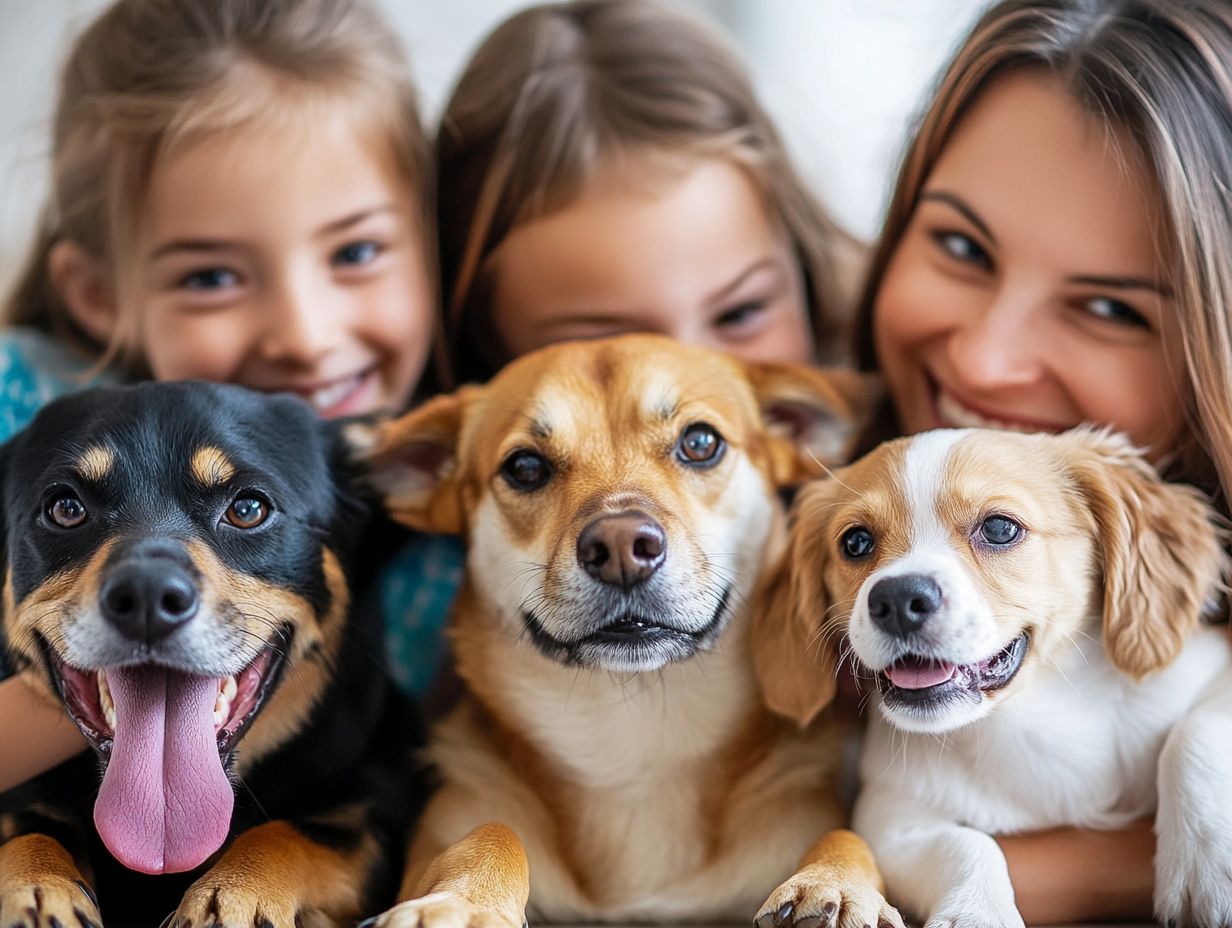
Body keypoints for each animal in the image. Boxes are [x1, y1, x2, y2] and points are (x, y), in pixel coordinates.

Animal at [0, 379, 423, 926]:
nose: (148, 598)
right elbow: (27, 825)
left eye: (248, 509)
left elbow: (287, 833)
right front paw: (37, 887)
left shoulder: (371, 819)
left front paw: (235, 894)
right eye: (65, 509)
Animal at [359, 335, 901, 926]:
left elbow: (847, 835)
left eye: (700, 442)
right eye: (524, 467)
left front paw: (835, 883)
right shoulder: (453, 822)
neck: (636, 736)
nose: (621, 546)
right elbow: (492, 831)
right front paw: (461, 901)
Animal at [758, 426, 1232, 926]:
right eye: (855, 543)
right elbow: (970, 843)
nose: (897, 600)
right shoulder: (891, 819)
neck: (1037, 718)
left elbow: (1195, 732)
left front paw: (1204, 868)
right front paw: (976, 911)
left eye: (1000, 528)